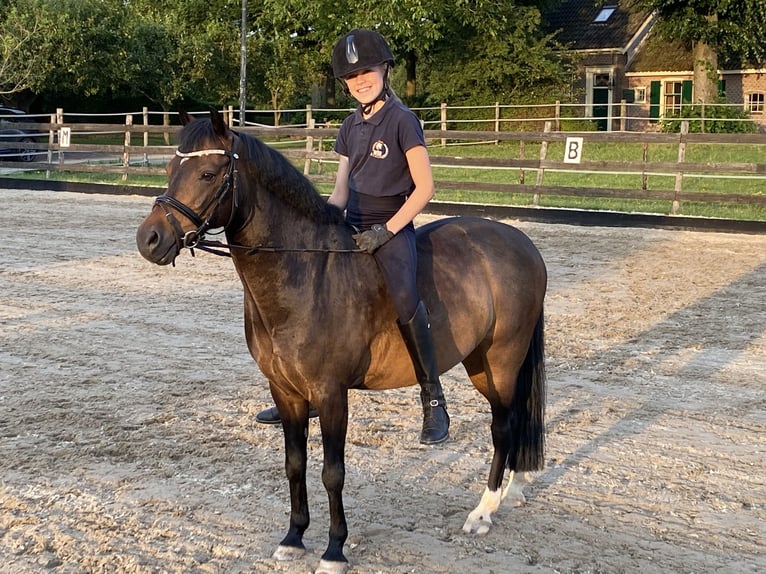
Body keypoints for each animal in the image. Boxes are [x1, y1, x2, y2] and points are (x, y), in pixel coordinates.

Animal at [135, 109, 548, 574]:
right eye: (170, 170)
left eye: (207, 173)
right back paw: (515, 489)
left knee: (504, 426)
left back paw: (484, 510)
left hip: (498, 362)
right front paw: (294, 537)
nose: (149, 239)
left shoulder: (331, 393)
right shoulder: (285, 392)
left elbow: (333, 471)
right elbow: (294, 463)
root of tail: (522, 243)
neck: (303, 272)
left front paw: (334, 549)